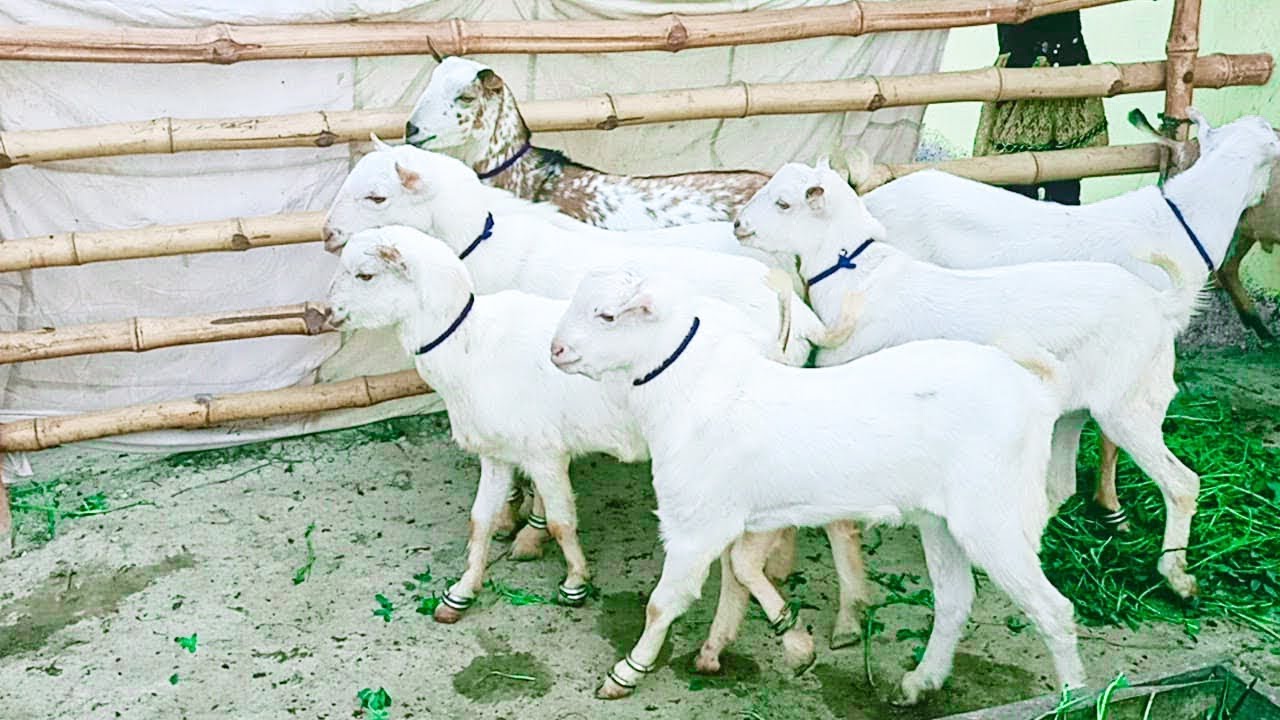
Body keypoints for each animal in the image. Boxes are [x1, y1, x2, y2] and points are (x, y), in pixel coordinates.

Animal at [327, 226, 871, 665]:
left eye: (366, 275)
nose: (323, 313)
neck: (470, 344)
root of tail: (789, 308)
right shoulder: (497, 453)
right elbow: (479, 522)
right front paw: (460, 593)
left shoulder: (543, 451)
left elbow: (562, 521)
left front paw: (574, 584)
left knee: (833, 521)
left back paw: (840, 618)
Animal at [550, 268, 1084, 703]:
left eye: (607, 315)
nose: (556, 350)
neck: (694, 390)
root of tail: (1037, 391)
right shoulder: (748, 516)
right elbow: (740, 572)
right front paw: (782, 643)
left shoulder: (694, 524)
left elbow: (664, 602)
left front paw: (625, 674)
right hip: (942, 519)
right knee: (954, 599)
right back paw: (918, 683)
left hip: (994, 514)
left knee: (1054, 609)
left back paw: (1072, 697)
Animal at [736, 160, 1202, 599]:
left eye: (784, 203)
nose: (739, 225)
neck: (858, 278)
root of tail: (1160, 304)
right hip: (1075, 408)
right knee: (1060, 484)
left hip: (1128, 404)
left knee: (1182, 484)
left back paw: (1177, 577)